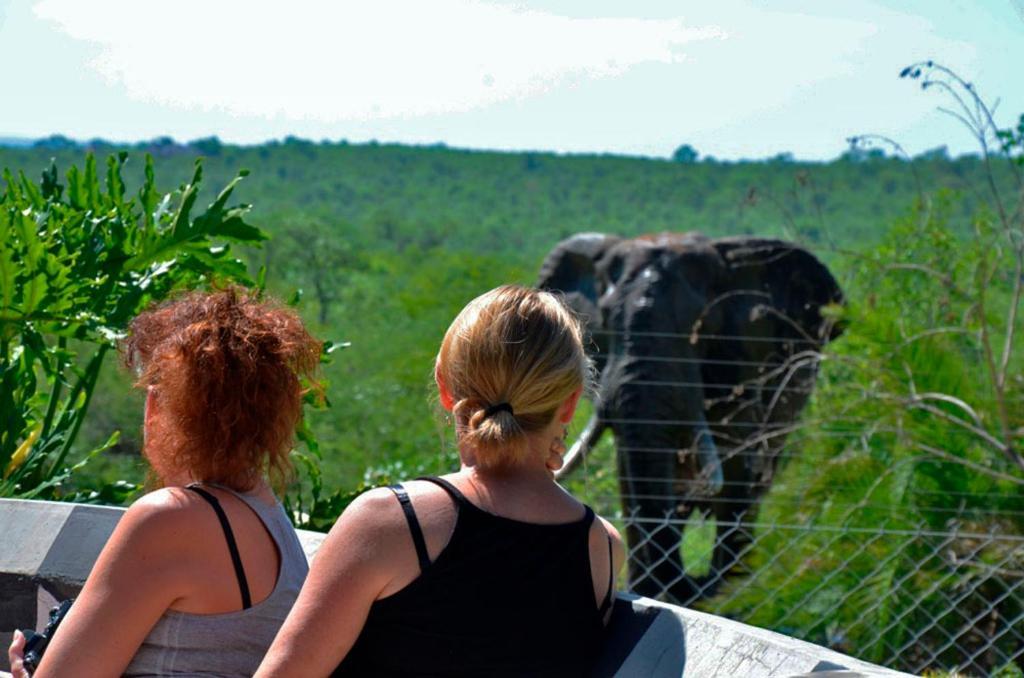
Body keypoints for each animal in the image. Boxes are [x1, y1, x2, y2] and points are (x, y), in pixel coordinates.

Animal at [536, 233, 839, 606]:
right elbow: (631, 478)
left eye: (703, 327)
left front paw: (727, 596)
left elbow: (736, 471)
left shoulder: (744, 368)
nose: (696, 582)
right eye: (606, 320)